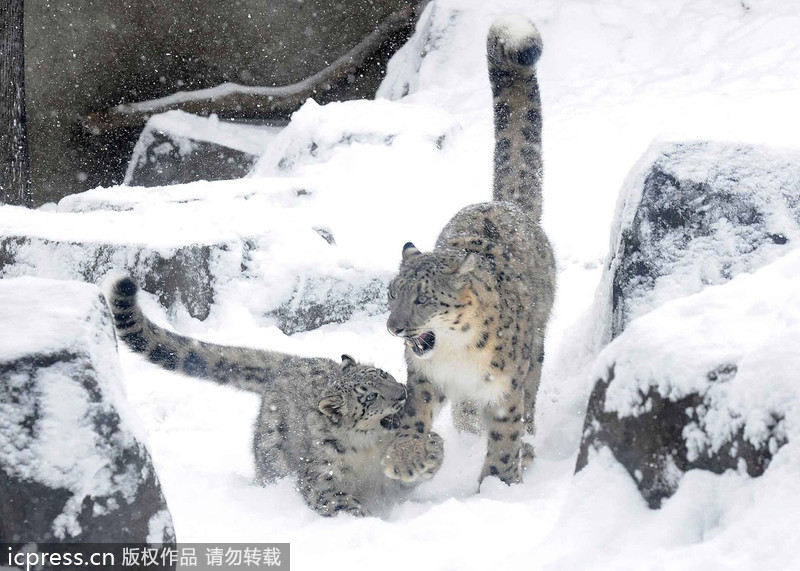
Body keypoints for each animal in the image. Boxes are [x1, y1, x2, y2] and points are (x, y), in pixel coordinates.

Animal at [104, 278, 444, 520]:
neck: (368, 450)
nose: (401, 393)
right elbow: (335, 500)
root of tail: (288, 363)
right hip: (273, 452)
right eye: (370, 397)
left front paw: (428, 452)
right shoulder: (321, 477)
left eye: (383, 374)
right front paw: (364, 518)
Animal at [384, 14, 552, 488]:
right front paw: (405, 458)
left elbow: (504, 436)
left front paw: (497, 483)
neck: (455, 352)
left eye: (423, 298)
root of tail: (506, 206)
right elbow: (414, 413)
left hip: (536, 350)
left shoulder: (505, 389)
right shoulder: (424, 375)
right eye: (391, 293)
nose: (394, 328)